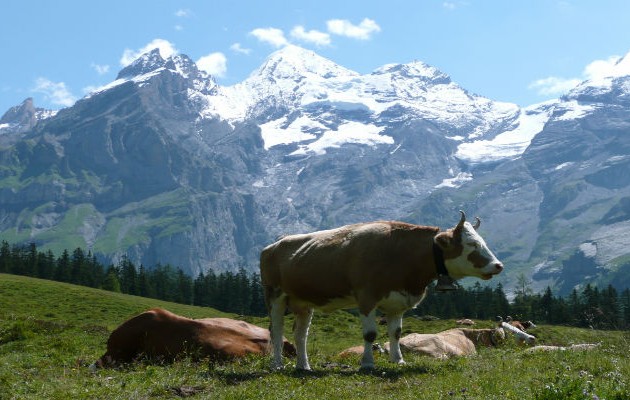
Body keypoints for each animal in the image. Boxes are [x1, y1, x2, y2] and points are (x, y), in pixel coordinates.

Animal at [260, 211, 504, 370]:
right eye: (472, 245)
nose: (498, 265)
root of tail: (273, 245)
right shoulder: (367, 297)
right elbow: (370, 334)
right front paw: (367, 364)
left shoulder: (397, 302)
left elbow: (396, 333)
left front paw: (398, 360)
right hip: (274, 296)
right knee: (277, 331)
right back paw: (277, 365)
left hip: (303, 303)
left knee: (300, 334)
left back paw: (304, 366)